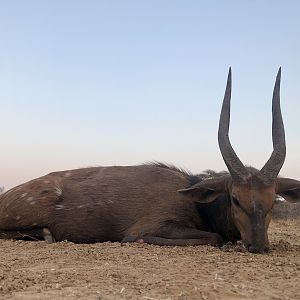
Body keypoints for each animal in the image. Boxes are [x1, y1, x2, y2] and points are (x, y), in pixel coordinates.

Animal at [0, 68, 300, 253]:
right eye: (236, 199)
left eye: (273, 200)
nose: (258, 246)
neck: (197, 204)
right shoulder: (148, 227)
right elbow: (213, 238)